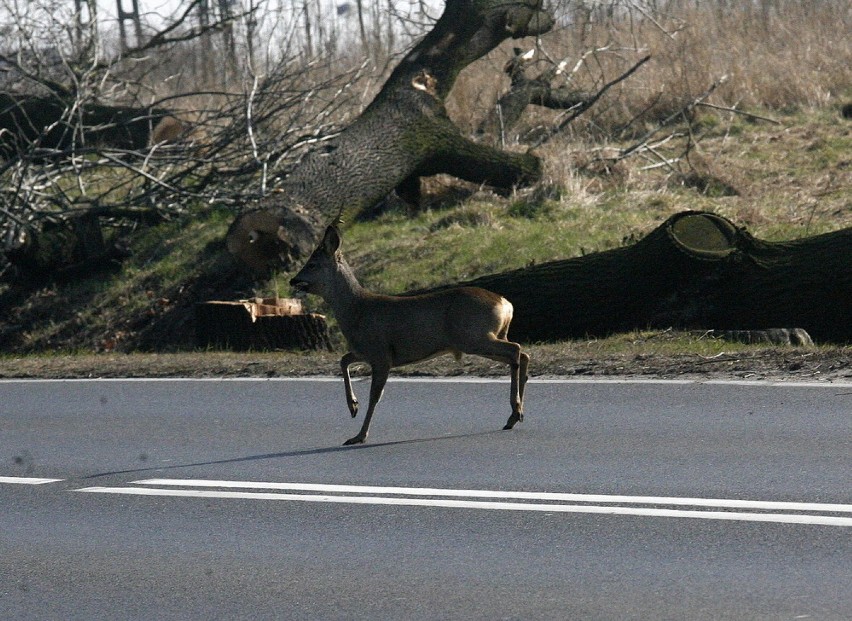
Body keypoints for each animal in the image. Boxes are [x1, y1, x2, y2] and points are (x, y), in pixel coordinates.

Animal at [290, 225, 528, 444]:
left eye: (312, 264)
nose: (293, 280)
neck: (356, 311)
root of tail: (505, 304)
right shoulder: (364, 351)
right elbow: (343, 360)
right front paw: (353, 407)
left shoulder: (381, 353)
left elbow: (375, 396)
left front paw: (359, 435)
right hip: (484, 337)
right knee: (521, 354)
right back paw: (514, 416)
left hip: (473, 336)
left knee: (516, 349)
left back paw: (516, 411)